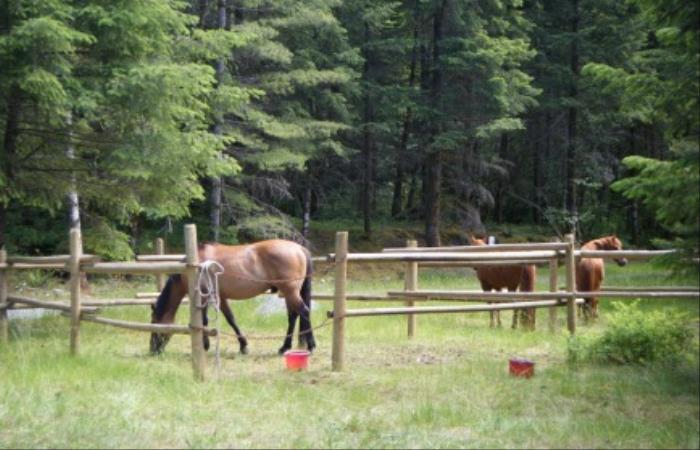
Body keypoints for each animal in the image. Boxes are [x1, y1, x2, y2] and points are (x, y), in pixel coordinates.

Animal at [149, 239, 316, 356]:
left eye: (154, 322)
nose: (153, 349)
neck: (196, 267)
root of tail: (299, 248)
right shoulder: (221, 297)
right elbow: (231, 319)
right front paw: (243, 346)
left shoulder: (203, 297)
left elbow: (203, 320)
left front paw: (205, 345)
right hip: (288, 293)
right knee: (293, 316)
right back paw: (285, 347)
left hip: (290, 292)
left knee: (304, 312)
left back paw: (310, 346)